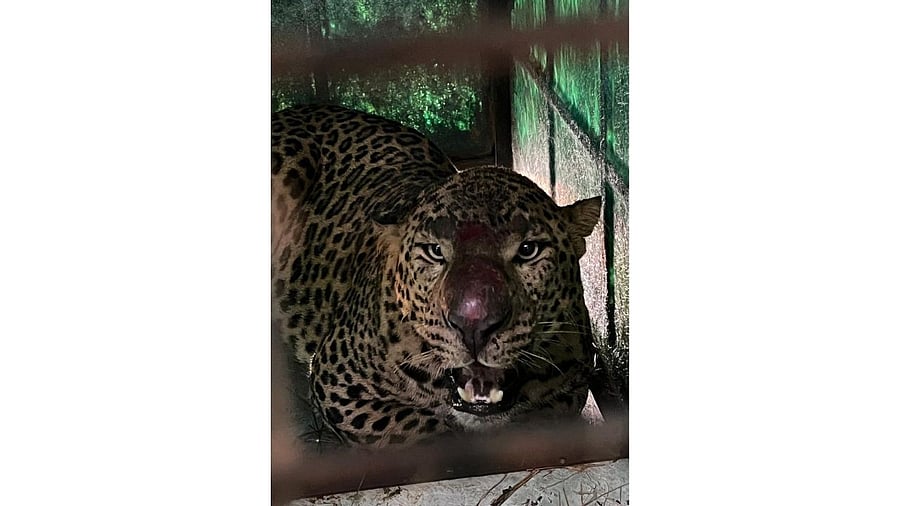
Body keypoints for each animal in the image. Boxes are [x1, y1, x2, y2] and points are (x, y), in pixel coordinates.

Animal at [272, 104, 613, 447]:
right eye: (435, 251)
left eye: (528, 250)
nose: (474, 328)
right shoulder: (338, 379)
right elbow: (419, 428)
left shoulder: (570, 385)